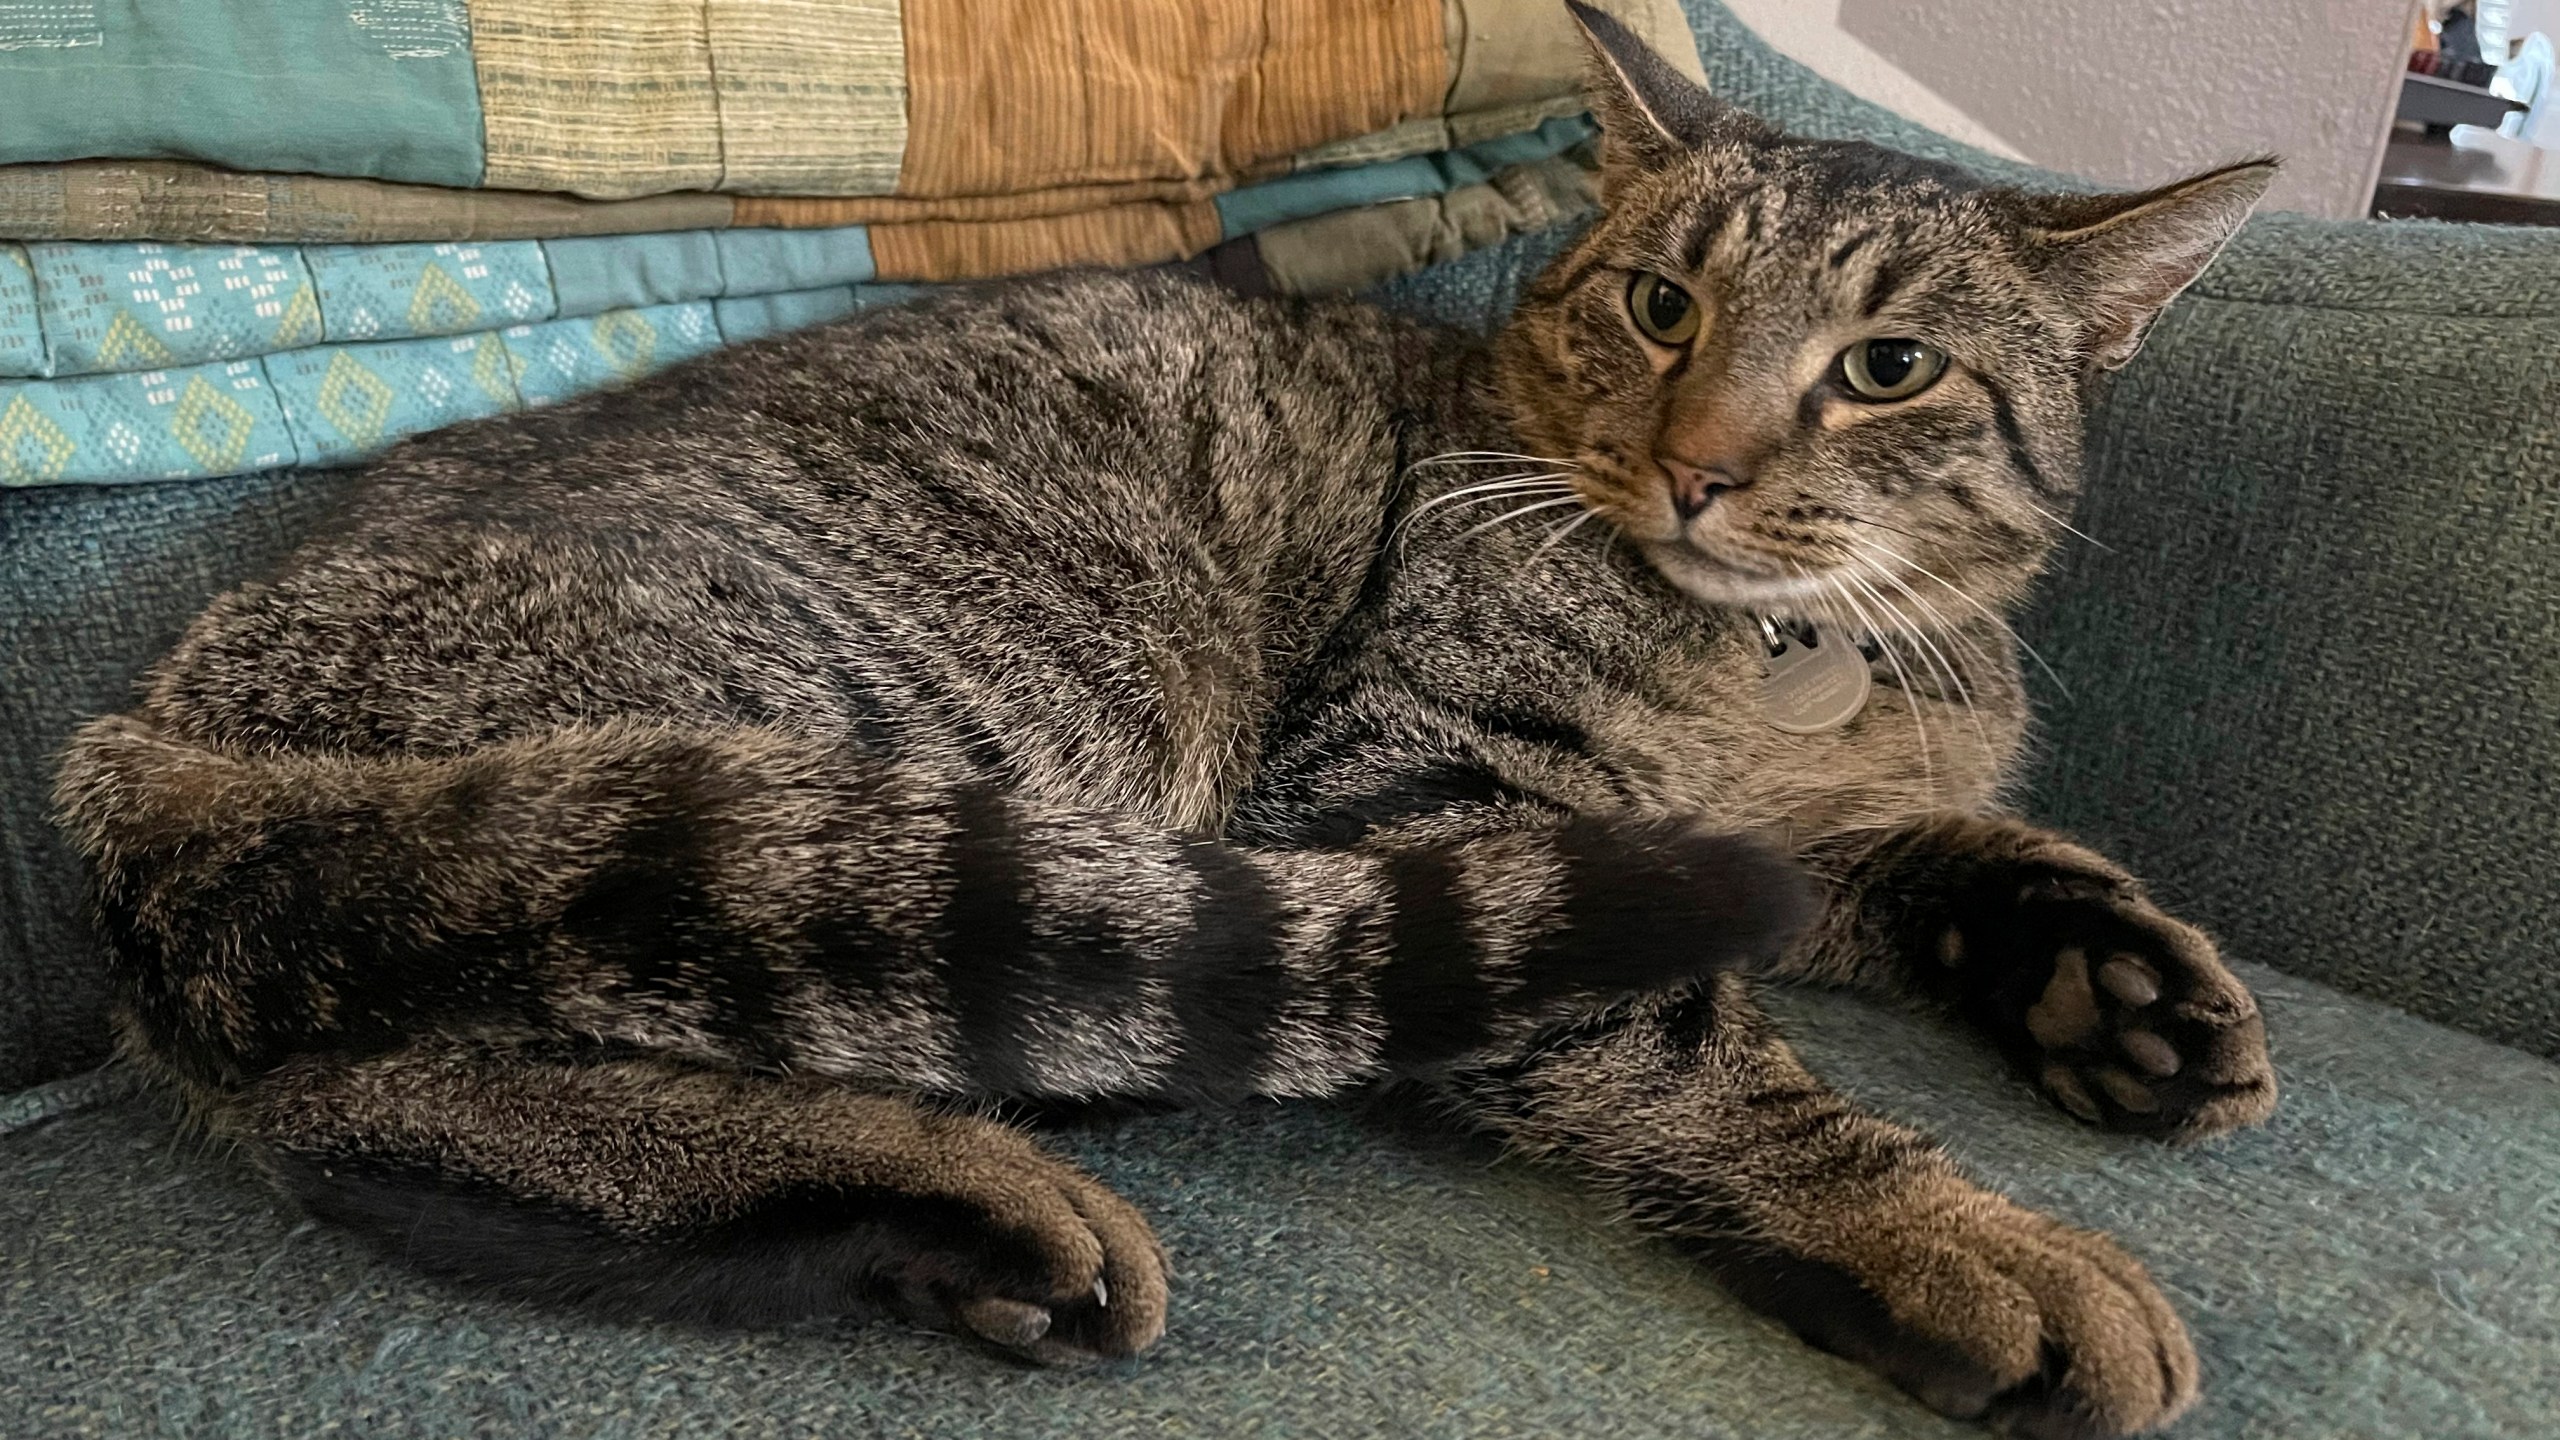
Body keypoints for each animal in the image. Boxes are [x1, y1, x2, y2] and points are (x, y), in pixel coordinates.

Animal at [49, 5, 2273, 1424]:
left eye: (1886, 367)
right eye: (1663, 307)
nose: (1703, 465)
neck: (1792, 667)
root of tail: (142, 745)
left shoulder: (1804, 834)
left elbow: (1979, 850)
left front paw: (2125, 991)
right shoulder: (1430, 795)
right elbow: (1696, 1057)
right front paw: (1959, 1236)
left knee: (372, 1112)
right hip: (907, 745)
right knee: (406, 1073)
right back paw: (968, 1192)